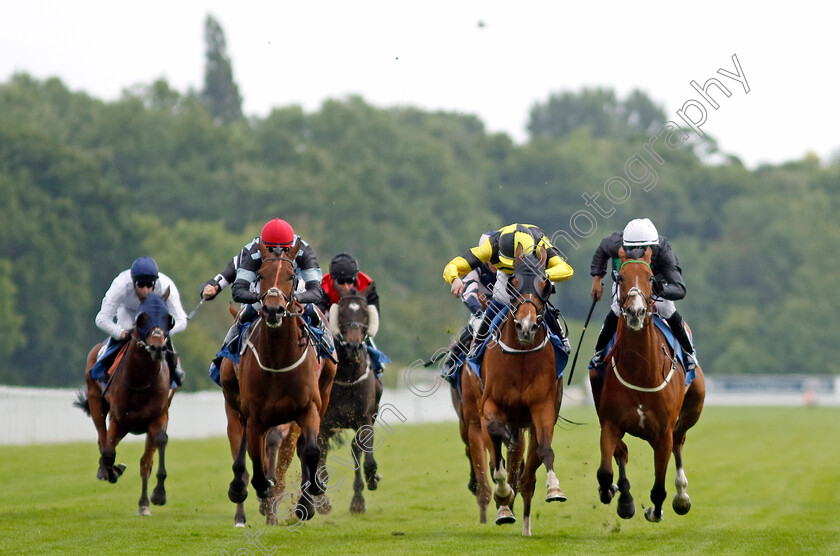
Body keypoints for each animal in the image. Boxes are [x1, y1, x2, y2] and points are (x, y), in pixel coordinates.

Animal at [76, 292, 176, 516]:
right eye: (141, 318)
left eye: (169, 319)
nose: (158, 348)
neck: (140, 381)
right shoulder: (118, 419)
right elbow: (108, 451)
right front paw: (111, 471)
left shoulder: (158, 416)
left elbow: (157, 447)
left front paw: (158, 494)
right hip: (97, 403)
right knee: (103, 441)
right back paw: (107, 470)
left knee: (144, 460)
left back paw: (143, 502)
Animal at [221, 240, 336, 524]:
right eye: (261, 275)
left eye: (292, 276)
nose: (273, 309)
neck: (278, 362)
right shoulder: (253, 415)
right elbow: (254, 456)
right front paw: (262, 490)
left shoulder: (308, 408)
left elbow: (310, 451)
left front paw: (309, 497)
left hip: (324, 392)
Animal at [318, 284, 384, 516]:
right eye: (343, 313)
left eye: (364, 312)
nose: (354, 346)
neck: (347, 375)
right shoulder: (324, 423)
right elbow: (321, 462)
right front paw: (322, 500)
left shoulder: (364, 419)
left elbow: (366, 458)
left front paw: (371, 480)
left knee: (356, 451)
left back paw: (358, 498)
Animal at [480, 247, 564, 536]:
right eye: (512, 282)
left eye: (546, 285)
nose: (526, 327)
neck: (521, 358)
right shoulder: (489, 406)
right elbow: (497, 446)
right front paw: (503, 494)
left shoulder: (543, 407)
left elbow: (546, 449)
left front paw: (554, 488)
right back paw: (505, 506)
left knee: (528, 477)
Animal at [592, 248, 704, 520]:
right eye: (621, 277)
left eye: (651, 277)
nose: (636, 311)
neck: (640, 371)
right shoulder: (610, 423)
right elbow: (606, 471)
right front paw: (614, 493)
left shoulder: (663, 433)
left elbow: (659, 488)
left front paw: (656, 509)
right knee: (622, 453)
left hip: (692, 409)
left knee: (679, 441)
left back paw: (681, 496)